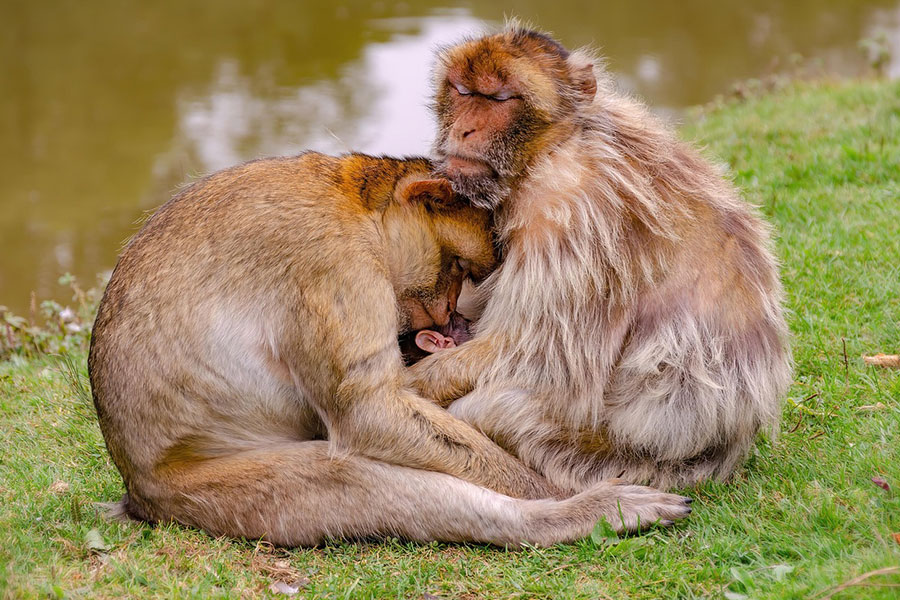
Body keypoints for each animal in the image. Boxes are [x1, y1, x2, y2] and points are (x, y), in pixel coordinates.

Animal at [88, 151, 692, 547]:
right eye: (458, 267)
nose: (447, 315)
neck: (354, 203)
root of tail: (137, 487)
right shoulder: (334, 263)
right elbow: (368, 410)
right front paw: (550, 489)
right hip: (201, 493)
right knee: (347, 475)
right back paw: (572, 517)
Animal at [407, 25, 793, 493]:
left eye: (499, 98)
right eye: (462, 91)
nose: (465, 129)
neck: (550, 151)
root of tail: (730, 444)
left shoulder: (571, 213)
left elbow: (540, 356)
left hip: (611, 457)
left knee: (503, 405)